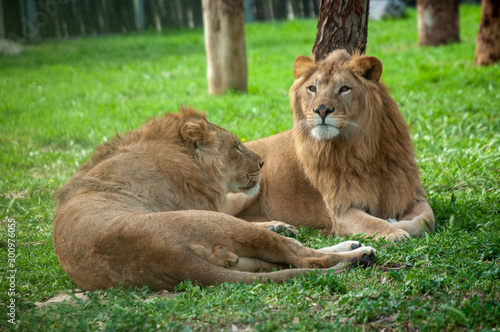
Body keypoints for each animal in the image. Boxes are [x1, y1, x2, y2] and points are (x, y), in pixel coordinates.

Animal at [52, 107, 376, 290]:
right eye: (236, 146)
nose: (262, 164)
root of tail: (167, 255)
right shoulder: (203, 204)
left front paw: (278, 223)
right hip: (211, 222)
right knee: (304, 257)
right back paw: (360, 254)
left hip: (240, 260)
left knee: (285, 260)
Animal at [227, 50, 434, 241]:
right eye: (312, 88)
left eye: (344, 88)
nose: (321, 110)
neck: (363, 151)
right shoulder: (341, 210)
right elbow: (374, 223)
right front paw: (394, 232)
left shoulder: (411, 194)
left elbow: (426, 219)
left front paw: (398, 223)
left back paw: (279, 228)